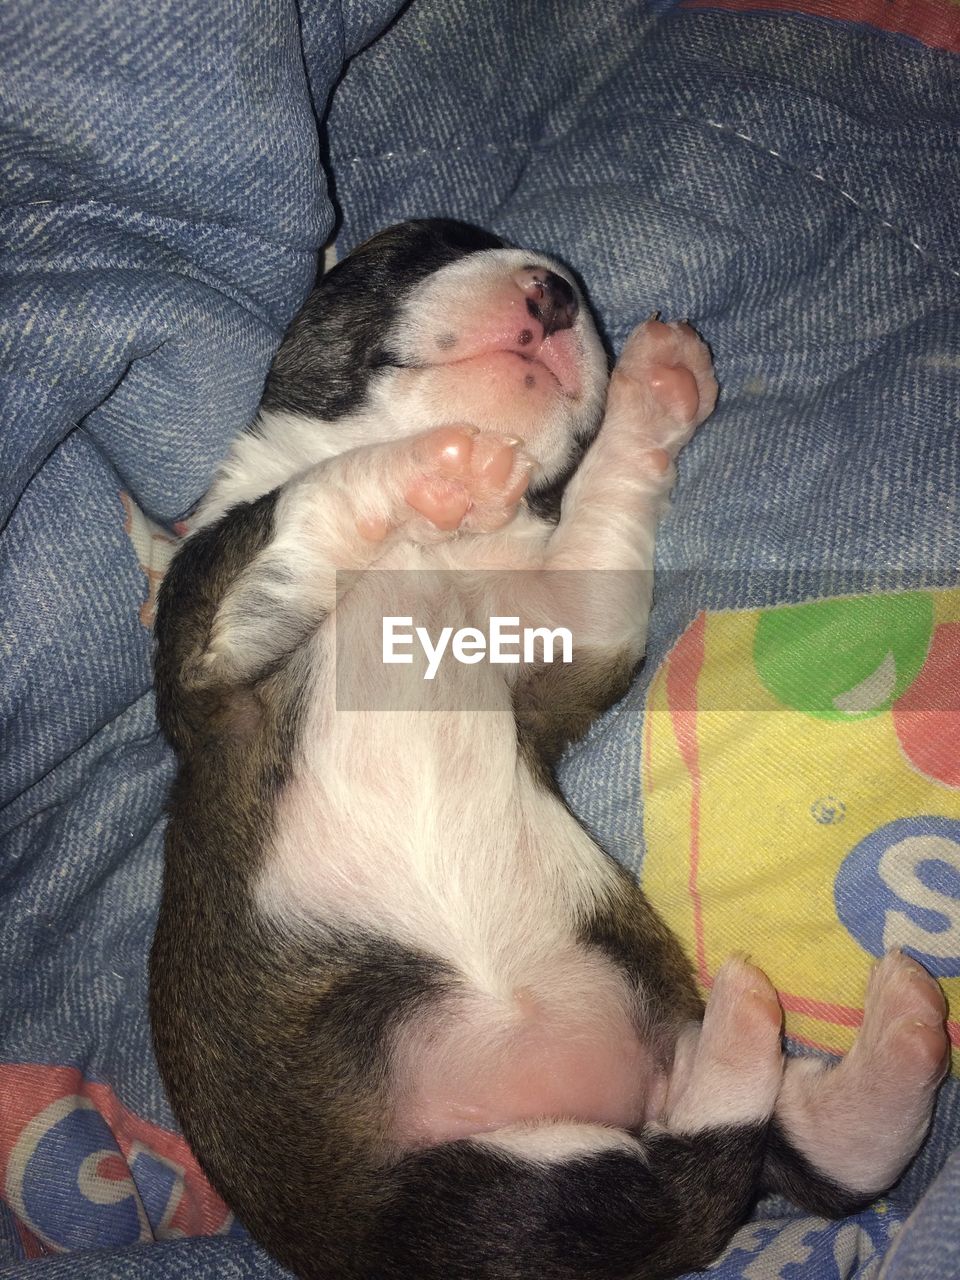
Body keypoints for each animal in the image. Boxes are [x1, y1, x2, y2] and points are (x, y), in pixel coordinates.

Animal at [152, 222, 957, 1280]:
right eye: (423, 247)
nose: (555, 292)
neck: (434, 550)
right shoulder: (207, 640)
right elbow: (301, 505)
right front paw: (432, 465)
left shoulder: (567, 625)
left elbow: (602, 512)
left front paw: (652, 387)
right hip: (462, 1206)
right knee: (692, 1177)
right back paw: (758, 1031)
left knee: (765, 1156)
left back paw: (874, 1033)